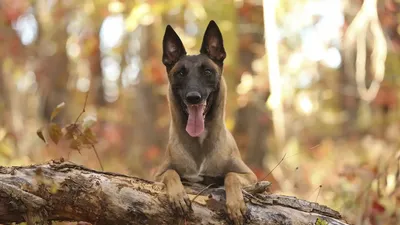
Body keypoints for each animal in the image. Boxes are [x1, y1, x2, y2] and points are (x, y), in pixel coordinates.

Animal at [155, 20, 258, 225]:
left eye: (208, 72)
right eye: (180, 73)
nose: (193, 97)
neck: (200, 143)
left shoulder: (250, 176)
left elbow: (231, 175)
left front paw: (236, 205)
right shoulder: (157, 175)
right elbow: (171, 173)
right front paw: (178, 196)